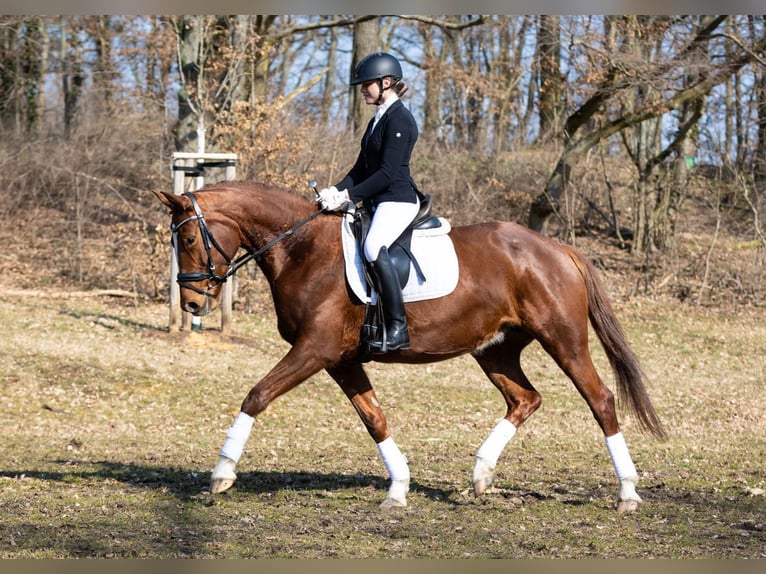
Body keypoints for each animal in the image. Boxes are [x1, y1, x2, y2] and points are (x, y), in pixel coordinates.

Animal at [153, 180, 665, 513]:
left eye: (190, 236)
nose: (194, 302)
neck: (303, 248)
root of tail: (558, 249)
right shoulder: (340, 359)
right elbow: (374, 418)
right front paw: (398, 488)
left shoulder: (315, 350)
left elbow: (256, 395)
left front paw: (222, 474)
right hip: (495, 349)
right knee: (525, 398)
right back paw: (481, 476)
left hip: (563, 340)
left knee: (600, 400)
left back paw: (628, 493)